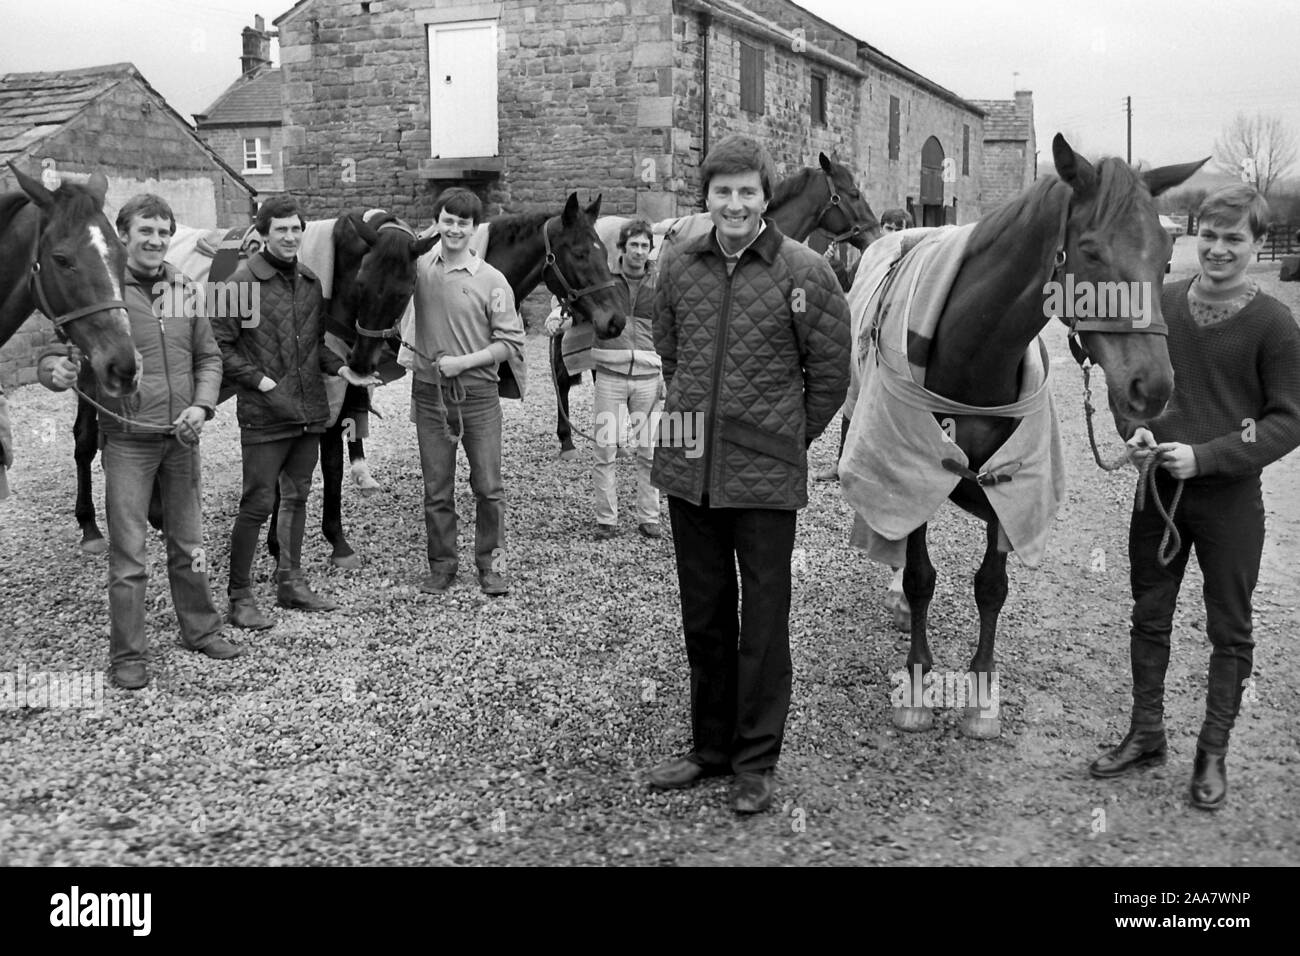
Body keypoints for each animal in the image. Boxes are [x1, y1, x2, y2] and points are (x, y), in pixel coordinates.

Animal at [837, 130, 1201, 738]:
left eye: (1167, 255)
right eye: (1092, 251)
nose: (1151, 387)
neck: (972, 356)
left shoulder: (1010, 487)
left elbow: (992, 587)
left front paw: (982, 695)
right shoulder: (912, 463)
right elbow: (920, 575)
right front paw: (916, 684)